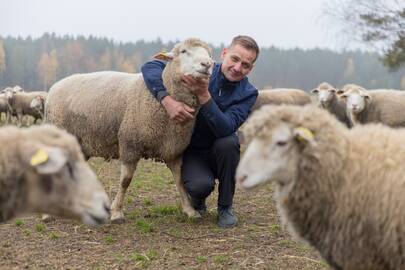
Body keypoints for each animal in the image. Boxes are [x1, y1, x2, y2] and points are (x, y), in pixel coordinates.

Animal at [45, 38, 213, 224]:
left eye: (209, 53)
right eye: (183, 51)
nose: (207, 64)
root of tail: (55, 86)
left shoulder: (174, 150)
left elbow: (179, 180)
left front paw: (190, 210)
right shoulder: (129, 144)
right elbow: (125, 180)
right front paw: (116, 212)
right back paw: (48, 212)